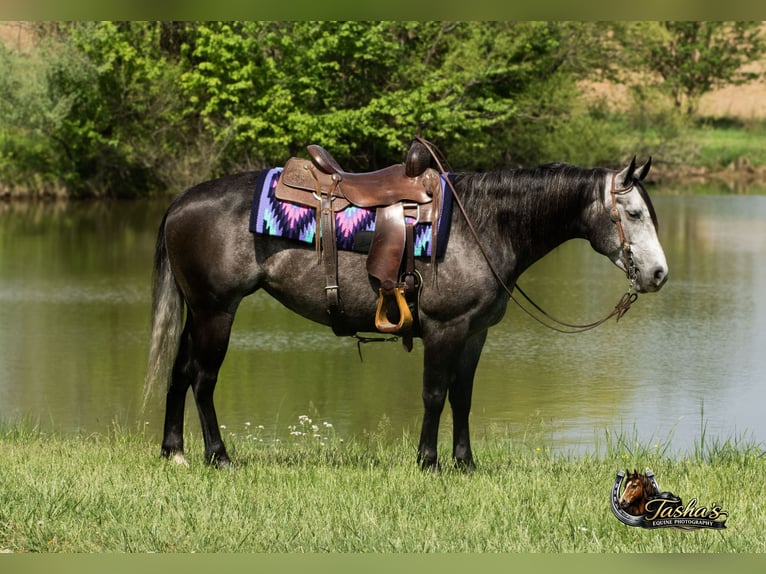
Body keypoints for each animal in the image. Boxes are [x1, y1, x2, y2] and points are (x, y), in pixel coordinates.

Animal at [143, 154, 668, 470]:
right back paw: (218, 455)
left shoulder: (475, 333)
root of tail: (181, 201)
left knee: (179, 372)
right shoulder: (445, 329)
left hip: (199, 313)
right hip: (216, 312)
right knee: (203, 379)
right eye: (635, 215)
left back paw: (174, 452)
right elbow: (435, 394)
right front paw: (428, 461)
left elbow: (463, 397)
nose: (659, 274)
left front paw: (464, 462)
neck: (482, 225)